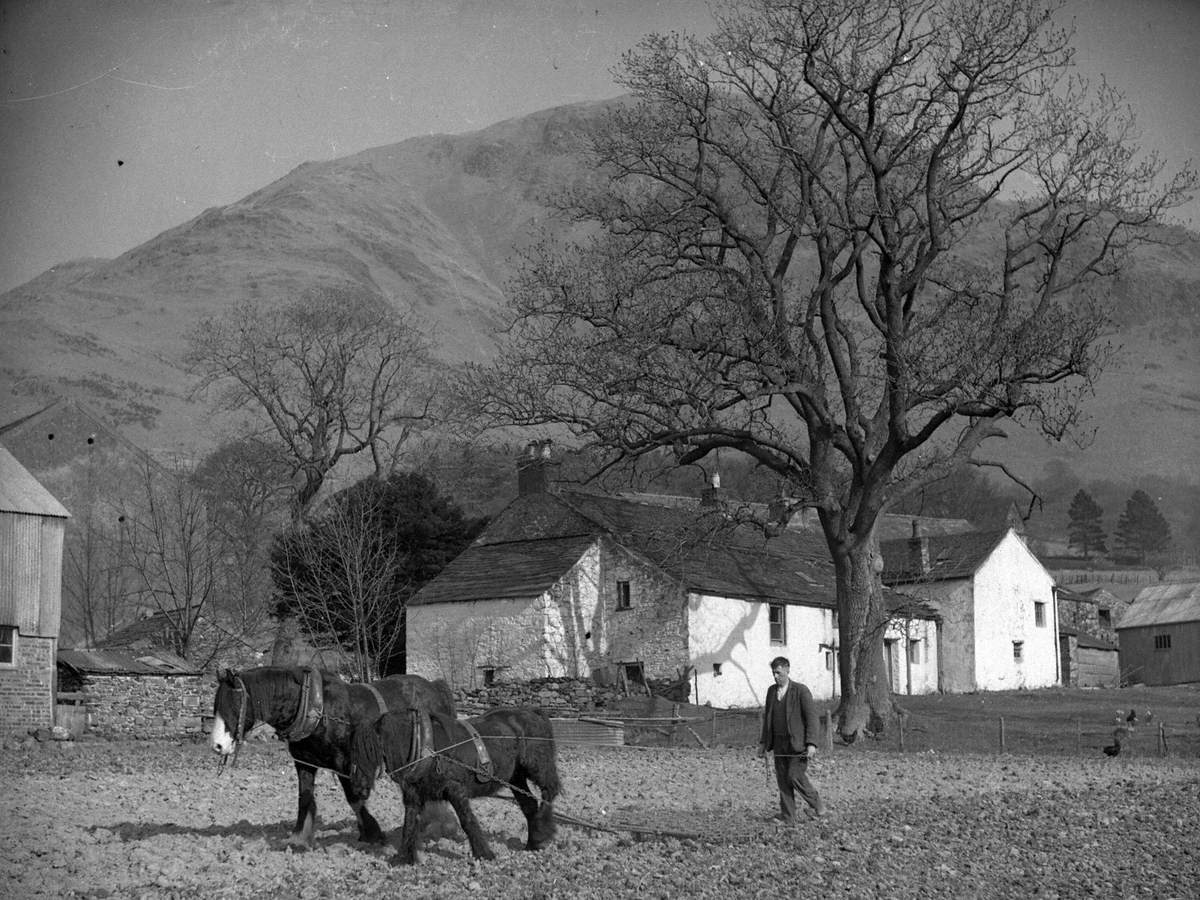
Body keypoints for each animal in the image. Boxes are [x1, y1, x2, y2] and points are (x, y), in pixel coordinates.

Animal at [211, 667, 453, 849]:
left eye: (233, 703)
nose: (217, 745)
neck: (317, 709)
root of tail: (435, 688)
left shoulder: (344, 763)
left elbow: (353, 799)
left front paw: (372, 833)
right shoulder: (304, 763)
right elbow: (305, 797)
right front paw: (298, 838)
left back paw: (436, 825)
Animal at [350, 705, 561, 868]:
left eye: (370, 749)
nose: (357, 789)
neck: (427, 748)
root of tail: (532, 712)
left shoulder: (455, 790)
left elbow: (468, 821)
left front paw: (484, 854)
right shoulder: (413, 796)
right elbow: (409, 825)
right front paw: (403, 858)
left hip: (537, 767)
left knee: (549, 791)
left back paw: (542, 831)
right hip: (516, 778)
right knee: (529, 806)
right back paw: (533, 842)